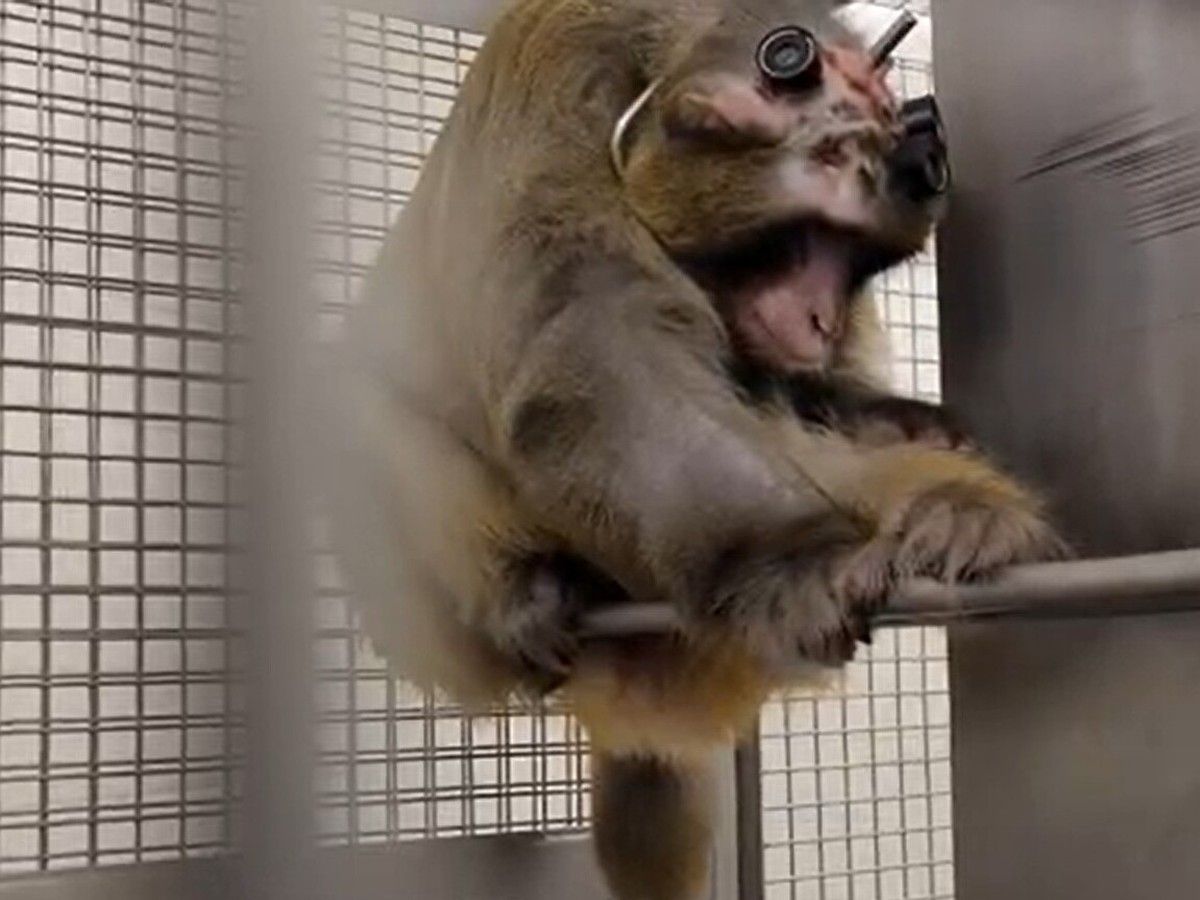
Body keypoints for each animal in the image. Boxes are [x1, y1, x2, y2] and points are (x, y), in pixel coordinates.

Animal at [320, 2, 1066, 898]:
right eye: (807, 228)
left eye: (855, 261)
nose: (819, 321)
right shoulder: (557, 77)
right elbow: (596, 339)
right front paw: (787, 559)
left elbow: (816, 398)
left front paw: (920, 445)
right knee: (363, 412)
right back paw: (523, 584)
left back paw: (952, 510)